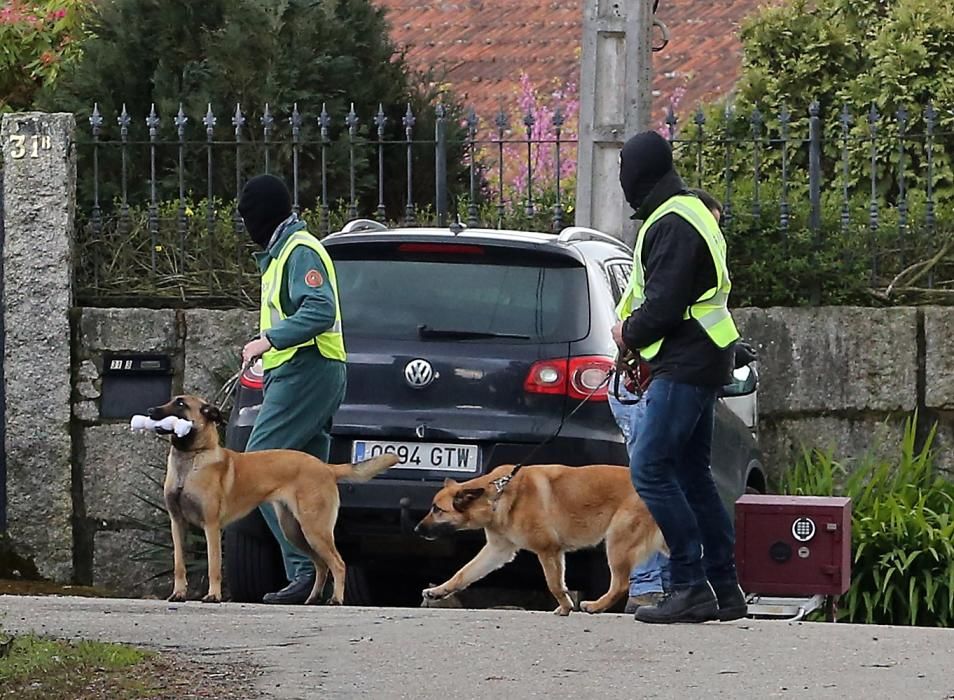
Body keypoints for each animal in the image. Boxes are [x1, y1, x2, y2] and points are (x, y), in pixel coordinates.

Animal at [146, 396, 398, 604]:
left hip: (314, 530)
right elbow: (179, 564)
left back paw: (336, 599)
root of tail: (326, 467)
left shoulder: (211, 527)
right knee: (320, 564)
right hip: (295, 532)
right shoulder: (177, 524)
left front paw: (213, 595)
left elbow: (214, 565)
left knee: (338, 563)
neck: (192, 458)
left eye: (181, 404)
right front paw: (179, 593)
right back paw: (312, 598)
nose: (150, 410)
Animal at [412, 464, 664, 616]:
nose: (416, 529)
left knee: (620, 584)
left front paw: (565, 606)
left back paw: (596, 605)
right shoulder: (496, 552)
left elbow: (554, 584)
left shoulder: (548, 551)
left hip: (617, 542)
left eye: (437, 510)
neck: (498, 494)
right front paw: (439, 591)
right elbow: (463, 573)